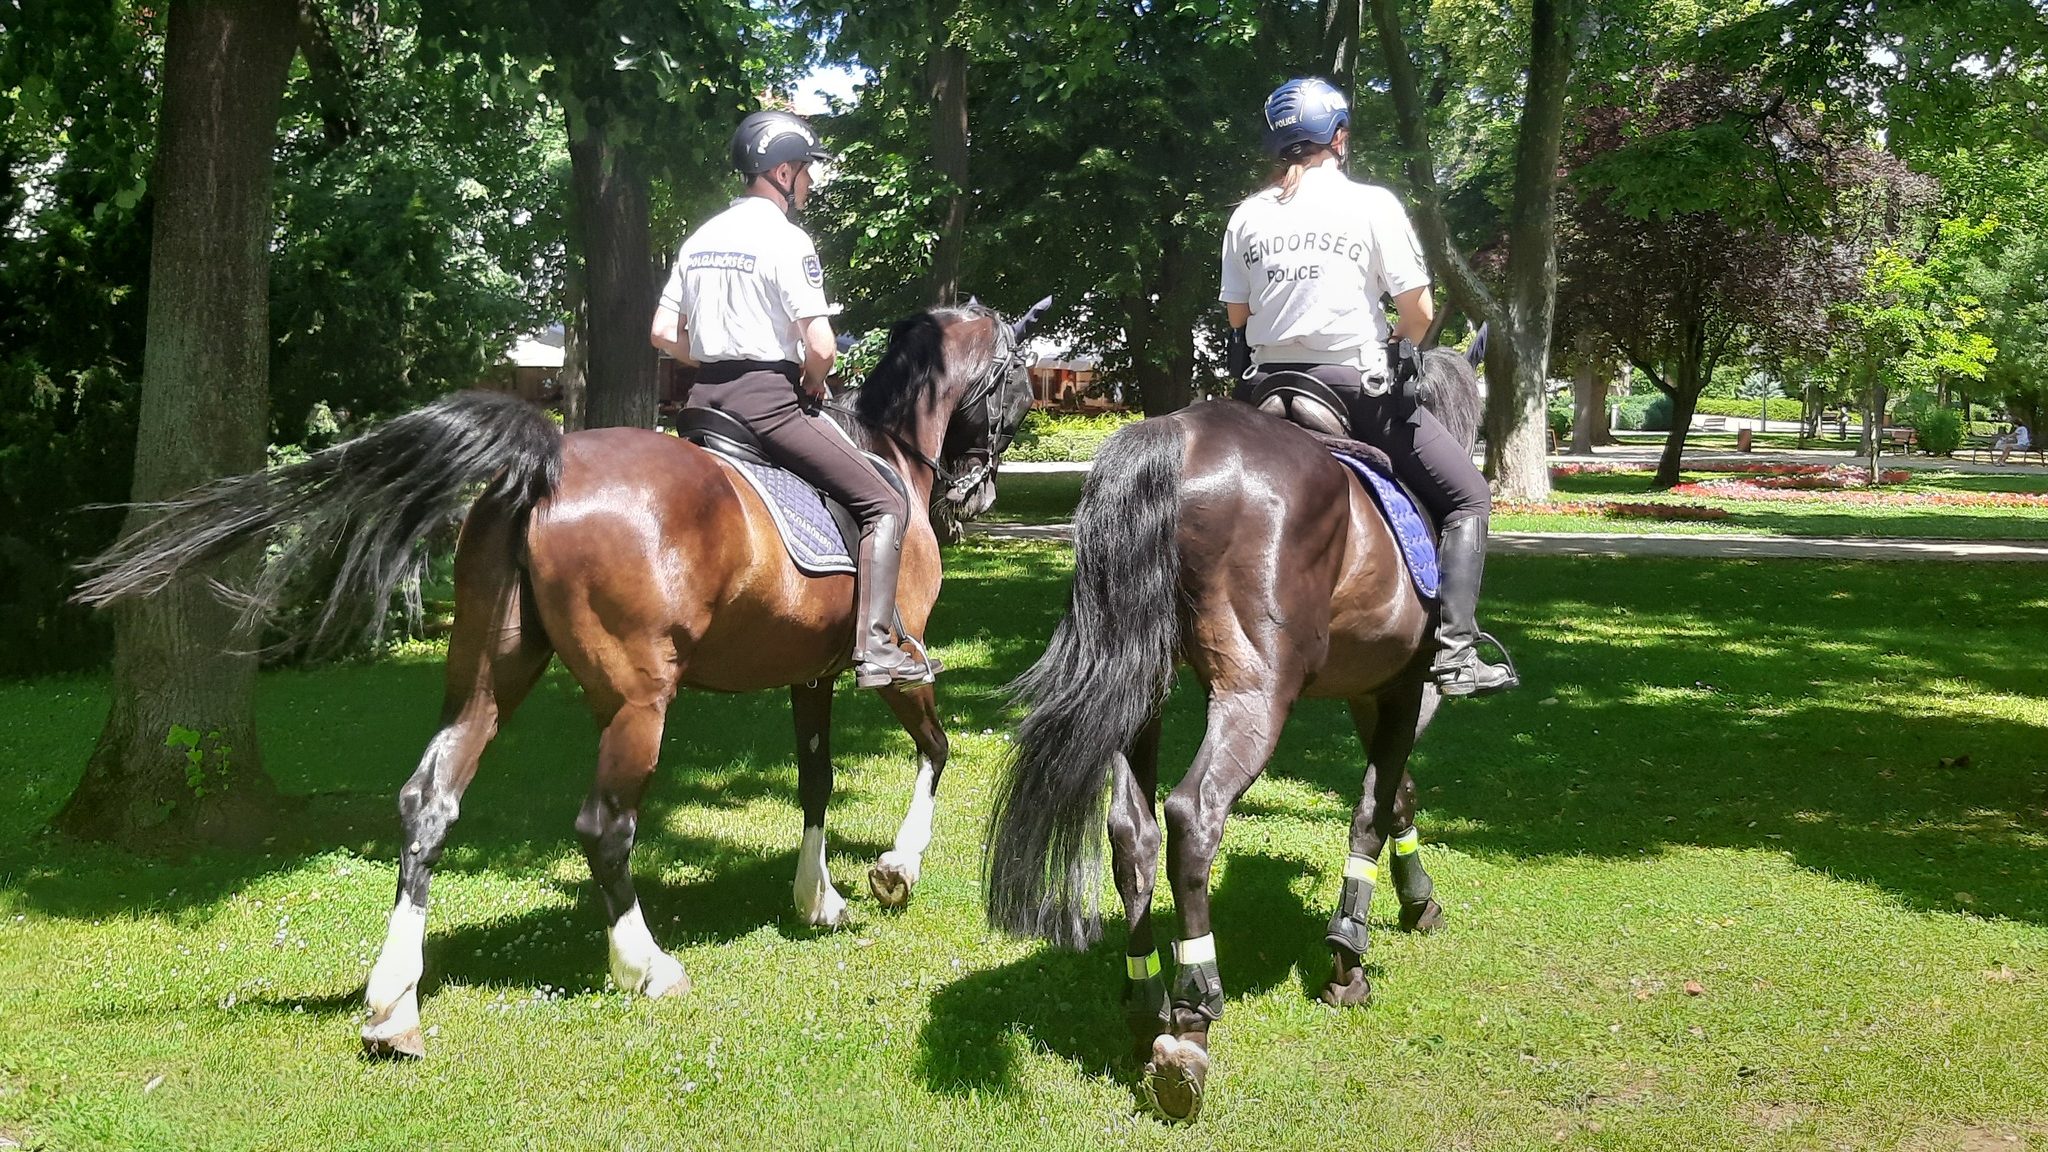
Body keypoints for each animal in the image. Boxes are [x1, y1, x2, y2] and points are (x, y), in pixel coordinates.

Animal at [79, 301, 1040, 1057]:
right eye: (1024, 387)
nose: (979, 496)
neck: (887, 459)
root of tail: (542, 467)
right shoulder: (893, 665)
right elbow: (936, 749)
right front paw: (894, 871)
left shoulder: (811, 676)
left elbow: (815, 778)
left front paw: (820, 899)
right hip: (638, 701)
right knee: (604, 827)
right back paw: (645, 967)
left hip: (489, 676)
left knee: (428, 802)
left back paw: (394, 1007)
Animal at [983, 336, 1482, 1115]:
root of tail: (1173, 437)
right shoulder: (1405, 689)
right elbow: (1375, 805)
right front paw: (1349, 957)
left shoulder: (1369, 691)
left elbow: (1394, 795)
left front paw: (1414, 901)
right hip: (1256, 694)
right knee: (1194, 816)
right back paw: (1193, 1017)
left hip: (1141, 685)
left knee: (1132, 830)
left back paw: (1146, 1004)